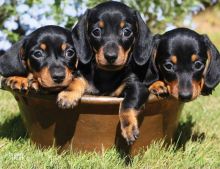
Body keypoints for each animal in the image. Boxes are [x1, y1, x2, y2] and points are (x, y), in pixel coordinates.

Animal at [57, 0, 156, 144]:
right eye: (96, 31)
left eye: (127, 31)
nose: (110, 56)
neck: (107, 74)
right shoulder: (83, 75)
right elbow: (76, 80)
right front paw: (68, 95)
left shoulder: (137, 86)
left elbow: (127, 103)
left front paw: (129, 127)